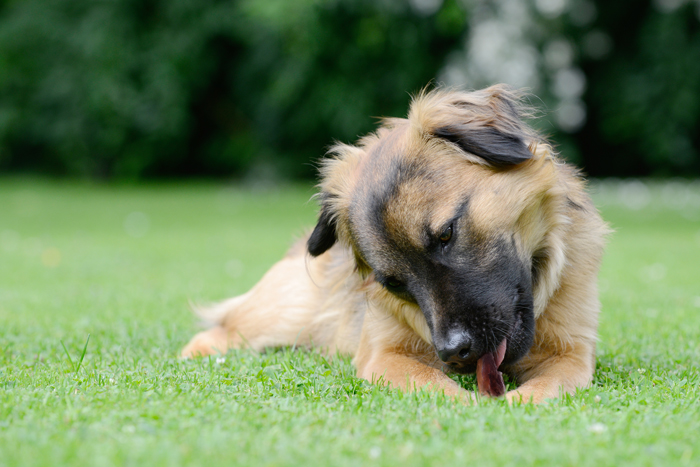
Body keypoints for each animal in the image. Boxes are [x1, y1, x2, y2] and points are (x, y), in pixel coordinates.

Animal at [180, 85, 608, 406]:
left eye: (446, 234)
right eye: (394, 282)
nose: (455, 352)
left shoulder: (570, 355)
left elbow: (545, 388)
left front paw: (516, 403)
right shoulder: (384, 355)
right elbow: (431, 382)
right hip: (282, 316)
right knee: (218, 332)